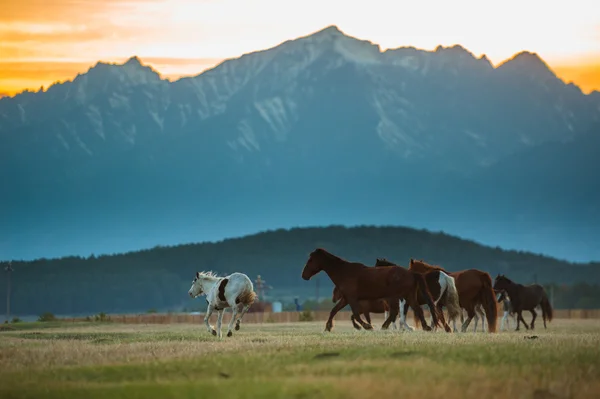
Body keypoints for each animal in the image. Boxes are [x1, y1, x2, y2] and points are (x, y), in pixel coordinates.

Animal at [300, 248, 440, 332]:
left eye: (311, 260)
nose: (304, 275)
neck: (344, 272)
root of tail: (411, 273)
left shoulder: (352, 298)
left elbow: (356, 314)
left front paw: (367, 326)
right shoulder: (346, 298)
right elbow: (334, 311)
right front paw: (328, 327)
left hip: (396, 297)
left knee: (398, 312)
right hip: (408, 296)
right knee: (417, 310)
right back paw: (426, 327)